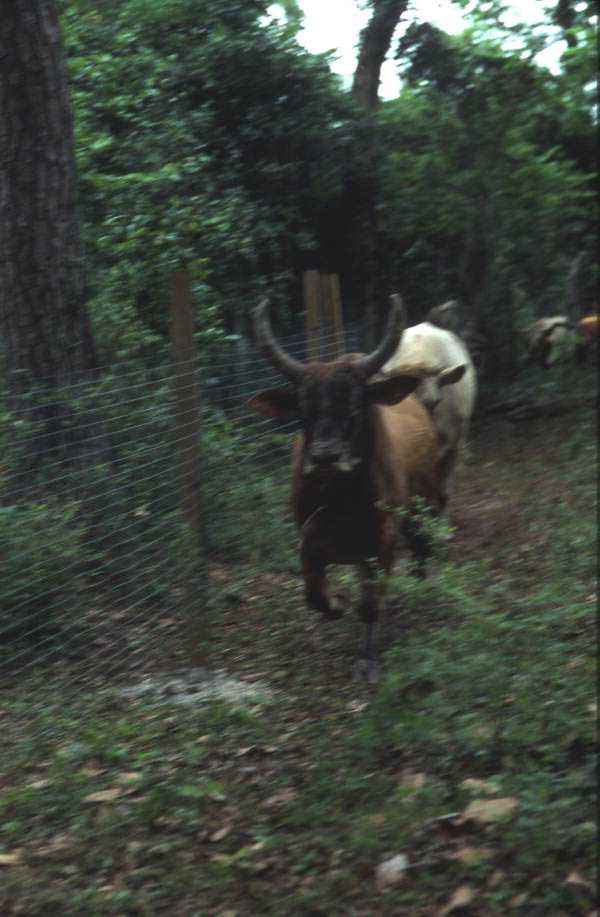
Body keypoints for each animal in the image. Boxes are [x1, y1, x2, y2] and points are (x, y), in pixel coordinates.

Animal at [245, 295, 438, 681]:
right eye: (303, 412)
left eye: (354, 408)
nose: (325, 458)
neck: (342, 501)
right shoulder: (309, 539)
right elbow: (314, 594)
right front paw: (335, 604)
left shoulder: (383, 539)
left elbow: (369, 603)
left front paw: (368, 660)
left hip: (420, 513)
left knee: (421, 554)